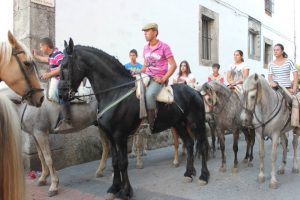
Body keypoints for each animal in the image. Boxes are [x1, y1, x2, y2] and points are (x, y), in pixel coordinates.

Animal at [59, 38, 210, 199]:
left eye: (65, 66)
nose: (61, 94)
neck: (115, 92)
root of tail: (195, 91)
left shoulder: (120, 136)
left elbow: (123, 162)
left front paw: (126, 191)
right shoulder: (111, 136)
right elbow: (115, 162)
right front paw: (114, 188)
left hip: (196, 123)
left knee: (202, 146)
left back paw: (203, 176)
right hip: (179, 124)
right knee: (189, 144)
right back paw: (188, 173)